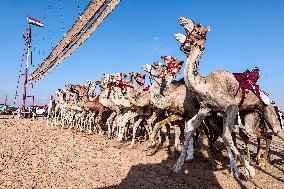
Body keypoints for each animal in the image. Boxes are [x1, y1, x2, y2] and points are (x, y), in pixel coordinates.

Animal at [172, 17, 282, 178]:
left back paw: (261, 162)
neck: (205, 85)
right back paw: (260, 160)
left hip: (268, 110)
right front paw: (178, 165)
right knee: (261, 134)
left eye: (198, 24)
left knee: (276, 132)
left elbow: (226, 136)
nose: (182, 19)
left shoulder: (231, 107)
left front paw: (249, 170)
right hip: (250, 116)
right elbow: (190, 127)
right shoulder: (206, 109)